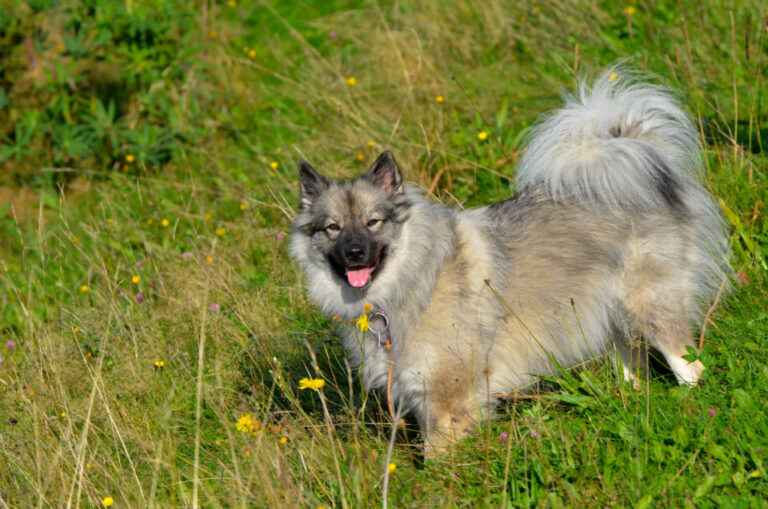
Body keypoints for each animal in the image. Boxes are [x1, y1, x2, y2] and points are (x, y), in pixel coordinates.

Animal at [290, 70, 732, 448]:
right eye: (332, 228)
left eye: (373, 222)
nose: (355, 253)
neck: (411, 280)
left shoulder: (446, 398)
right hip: (609, 318)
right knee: (632, 367)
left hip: (651, 307)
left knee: (690, 368)